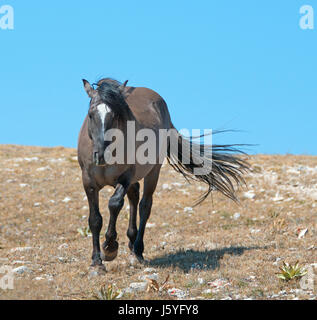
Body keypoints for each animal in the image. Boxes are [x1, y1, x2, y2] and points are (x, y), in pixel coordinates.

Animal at [77, 78, 247, 270]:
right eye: (91, 115)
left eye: (115, 116)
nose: (101, 154)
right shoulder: (88, 182)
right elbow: (95, 220)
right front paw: (96, 262)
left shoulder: (126, 177)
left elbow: (114, 204)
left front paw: (110, 248)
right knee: (134, 196)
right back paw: (131, 241)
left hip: (153, 171)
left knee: (144, 205)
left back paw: (137, 250)